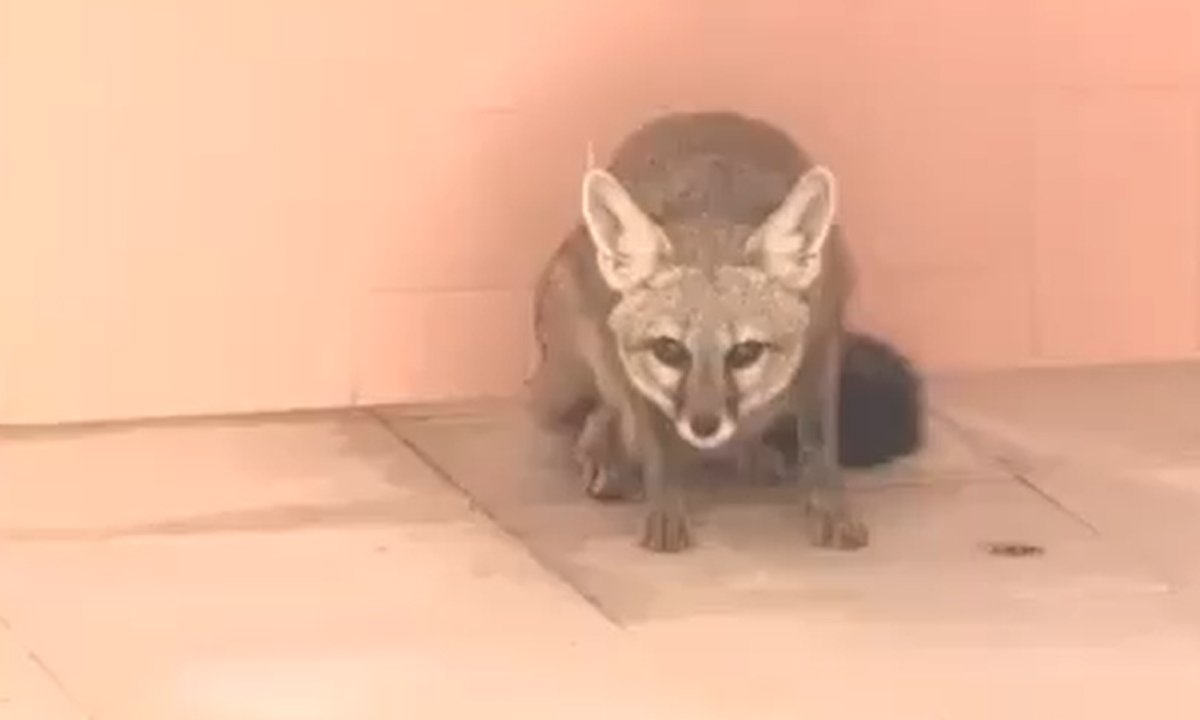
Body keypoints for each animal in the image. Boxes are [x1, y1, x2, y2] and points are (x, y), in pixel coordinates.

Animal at [527, 111, 923, 553]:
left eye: (745, 352)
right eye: (669, 350)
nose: (705, 425)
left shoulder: (823, 338)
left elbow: (820, 442)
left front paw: (830, 506)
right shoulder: (630, 368)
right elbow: (655, 441)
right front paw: (665, 508)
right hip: (568, 371)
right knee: (598, 414)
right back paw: (607, 457)